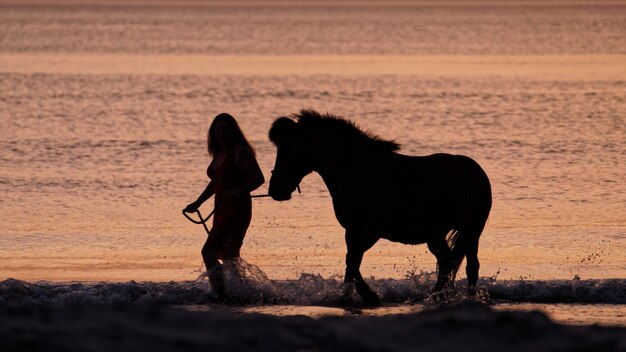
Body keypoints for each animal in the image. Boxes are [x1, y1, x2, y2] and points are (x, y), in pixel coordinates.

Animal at [266, 110, 490, 306]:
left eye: (290, 149)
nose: (276, 189)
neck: (357, 170)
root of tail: (475, 170)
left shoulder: (372, 230)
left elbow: (353, 259)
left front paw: (367, 296)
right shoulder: (352, 230)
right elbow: (351, 262)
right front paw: (349, 296)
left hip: (471, 230)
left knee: (470, 266)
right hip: (436, 234)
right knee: (446, 263)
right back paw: (436, 297)